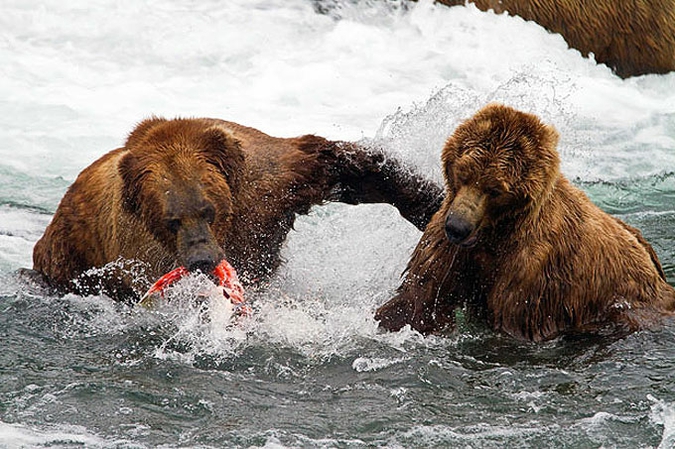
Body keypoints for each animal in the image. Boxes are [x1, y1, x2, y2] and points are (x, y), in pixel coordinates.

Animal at [33, 117, 444, 300]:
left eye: (208, 210)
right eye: (172, 221)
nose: (201, 258)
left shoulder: (271, 182)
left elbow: (345, 167)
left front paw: (429, 203)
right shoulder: (138, 251)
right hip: (71, 254)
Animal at [374, 103, 675, 342]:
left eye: (494, 189)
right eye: (463, 173)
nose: (457, 227)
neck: (496, 233)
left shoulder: (530, 270)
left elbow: (513, 325)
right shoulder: (450, 245)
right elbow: (417, 301)